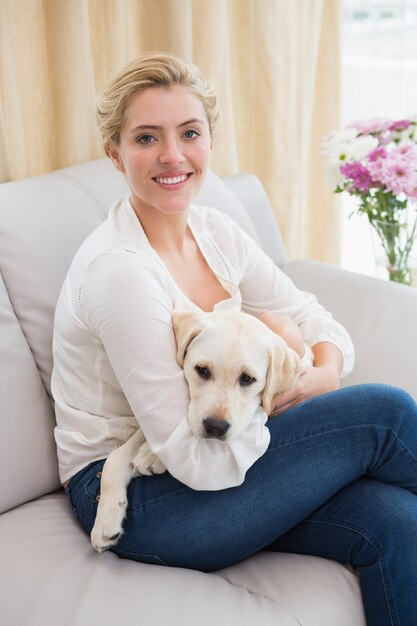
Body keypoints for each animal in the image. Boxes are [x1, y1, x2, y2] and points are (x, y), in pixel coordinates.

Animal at [92, 310, 302, 548]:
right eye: (202, 370)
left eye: (247, 379)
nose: (216, 427)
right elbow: (116, 457)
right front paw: (106, 519)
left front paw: (151, 456)